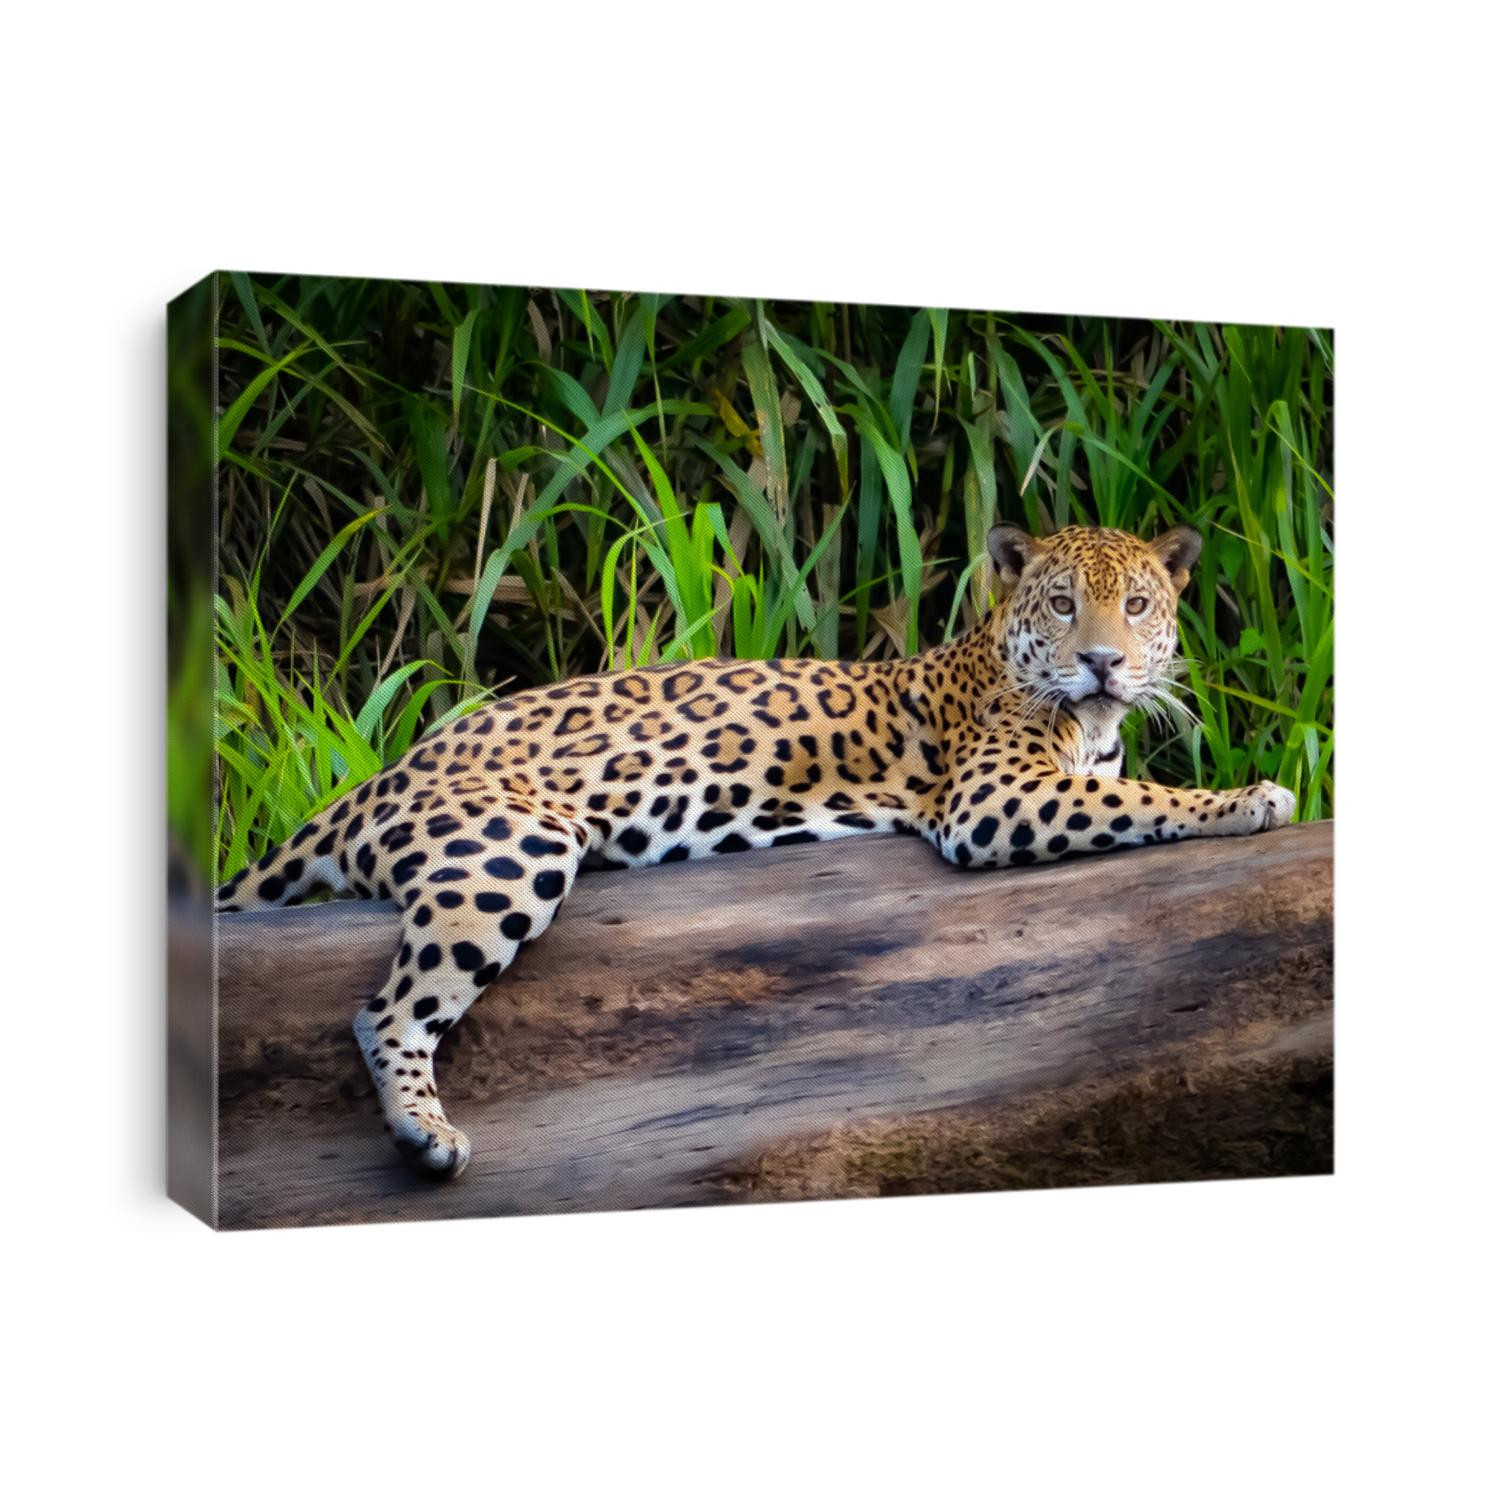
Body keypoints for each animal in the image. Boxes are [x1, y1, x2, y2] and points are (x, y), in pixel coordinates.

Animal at [216, 522, 1296, 1179]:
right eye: (1065, 605)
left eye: (1139, 606)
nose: (1104, 661)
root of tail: (388, 771)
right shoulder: (993, 799)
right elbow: (1145, 798)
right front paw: (1252, 797)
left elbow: (1126, 787)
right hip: (510, 844)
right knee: (386, 1009)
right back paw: (426, 1133)